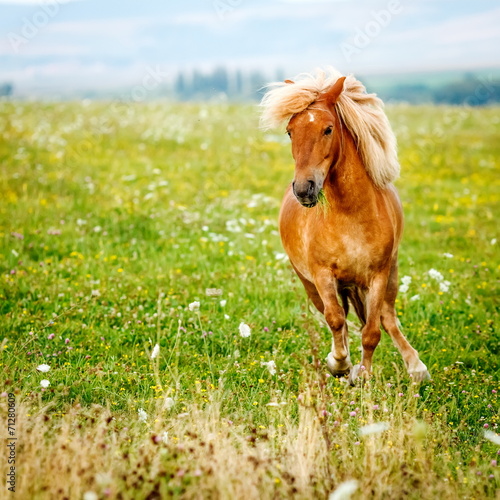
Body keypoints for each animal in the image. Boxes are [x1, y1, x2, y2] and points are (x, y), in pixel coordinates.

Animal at [260, 68, 428, 384]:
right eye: (290, 131)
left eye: (328, 129)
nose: (304, 189)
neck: (350, 215)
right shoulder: (322, 275)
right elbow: (336, 319)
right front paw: (339, 364)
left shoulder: (378, 275)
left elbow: (372, 332)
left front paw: (363, 376)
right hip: (310, 284)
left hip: (391, 274)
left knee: (388, 317)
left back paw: (416, 367)